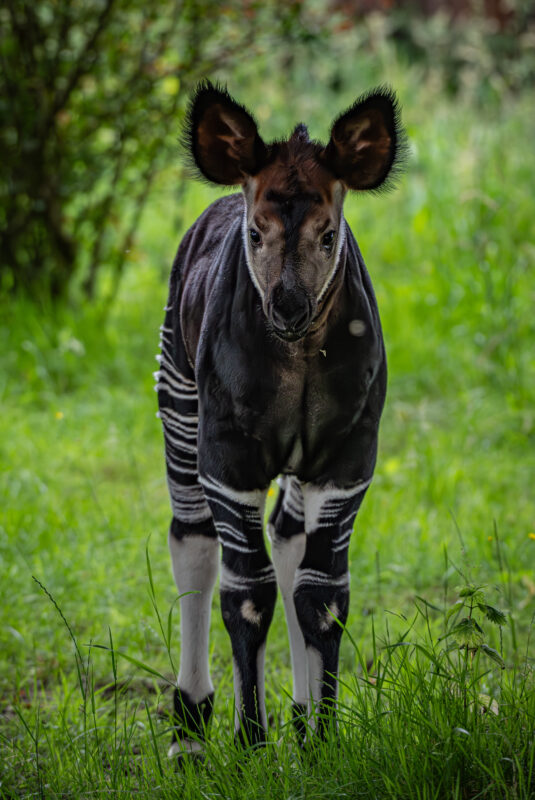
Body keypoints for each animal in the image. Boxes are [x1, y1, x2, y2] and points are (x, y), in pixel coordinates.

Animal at [156, 81, 406, 756]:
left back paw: (296, 715)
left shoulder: (345, 462)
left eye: (328, 235)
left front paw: (322, 744)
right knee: (193, 540)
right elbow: (247, 594)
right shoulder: (230, 461)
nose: (289, 308)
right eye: (255, 233)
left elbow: (323, 596)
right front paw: (249, 745)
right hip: (179, 401)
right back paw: (190, 728)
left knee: (289, 541)